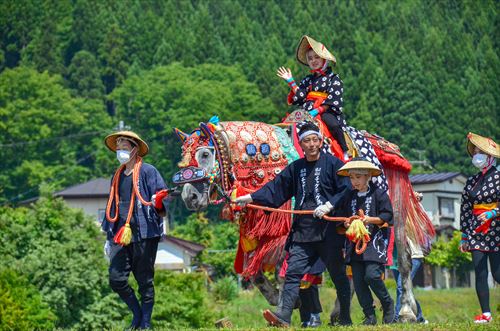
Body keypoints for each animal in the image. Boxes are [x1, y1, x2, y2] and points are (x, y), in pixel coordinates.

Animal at [173, 112, 434, 324]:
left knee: (404, 261)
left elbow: (285, 270)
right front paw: (283, 303)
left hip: (393, 215)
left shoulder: (286, 228)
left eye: (205, 154)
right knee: (348, 270)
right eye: (183, 157)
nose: (190, 197)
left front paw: (289, 306)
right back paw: (338, 314)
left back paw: (406, 313)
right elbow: (253, 272)